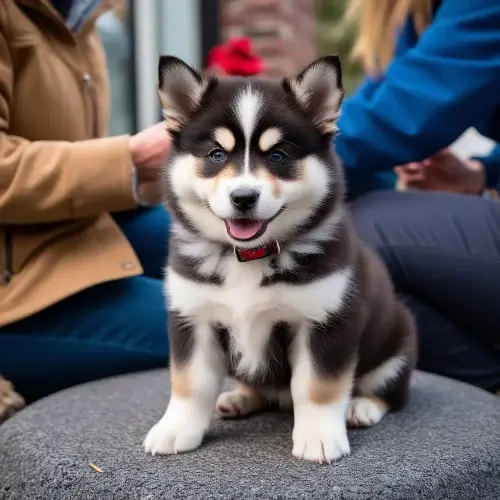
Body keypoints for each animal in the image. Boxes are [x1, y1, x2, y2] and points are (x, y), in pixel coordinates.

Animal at [145, 52, 418, 462]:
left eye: (277, 155)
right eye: (216, 154)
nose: (243, 197)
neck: (247, 258)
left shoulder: (325, 320)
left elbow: (318, 387)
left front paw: (319, 437)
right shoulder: (194, 317)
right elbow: (190, 383)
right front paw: (176, 429)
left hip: (398, 338)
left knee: (388, 390)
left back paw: (362, 407)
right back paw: (239, 398)